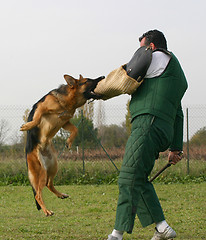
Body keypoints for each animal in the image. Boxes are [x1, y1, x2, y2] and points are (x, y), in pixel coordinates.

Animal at [20, 74, 104, 217]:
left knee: (48, 184)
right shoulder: (41, 107)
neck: (67, 101)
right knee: (38, 194)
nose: (103, 76)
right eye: (87, 80)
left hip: (53, 167)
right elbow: (36, 119)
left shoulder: (65, 122)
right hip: (41, 172)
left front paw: (69, 142)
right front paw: (28, 126)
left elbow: (75, 129)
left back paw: (61, 195)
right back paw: (47, 211)